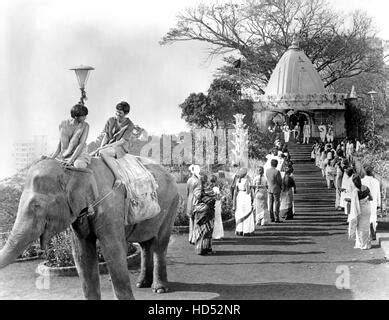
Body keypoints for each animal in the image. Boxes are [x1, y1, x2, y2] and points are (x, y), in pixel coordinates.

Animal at [0, 158, 179, 300]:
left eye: (36, 206)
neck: (74, 168)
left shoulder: (111, 207)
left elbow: (113, 250)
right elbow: (82, 254)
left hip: (172, 205)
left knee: (159, 244)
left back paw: (159, 289)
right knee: (145, 244)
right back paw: (141, 283)